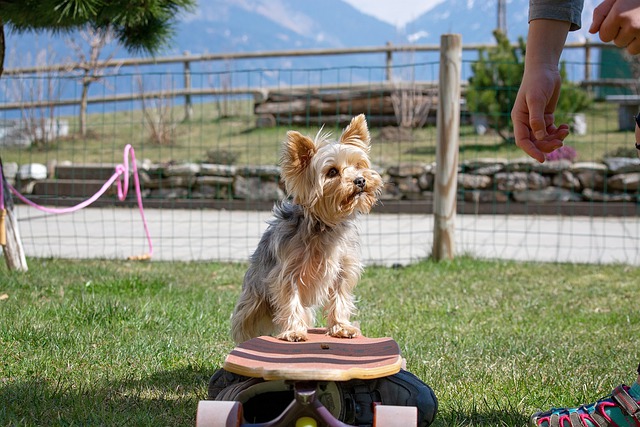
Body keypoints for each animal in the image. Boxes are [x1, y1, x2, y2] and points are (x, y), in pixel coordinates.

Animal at [230, 113, 382, 344]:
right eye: (332, 172)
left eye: (358, 165)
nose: (360, 180)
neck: (324, 225)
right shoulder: (288, 272)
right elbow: (290, 298)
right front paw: (293, 331)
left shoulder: (343, 268)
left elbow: (340, 297)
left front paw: (341, 327)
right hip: (254, 298)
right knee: (247, 318)